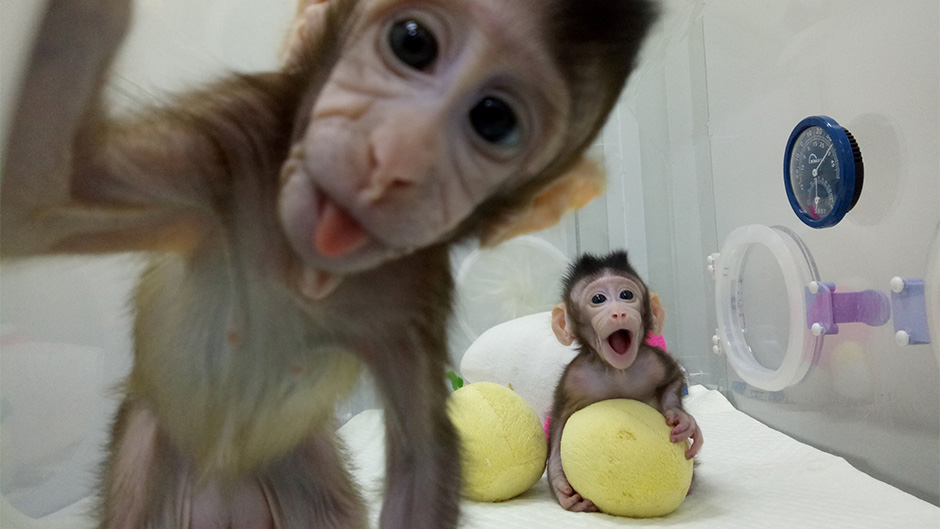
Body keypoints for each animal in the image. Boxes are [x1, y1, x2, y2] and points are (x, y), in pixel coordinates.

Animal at [0, 0, 657, 527]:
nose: (394, 156)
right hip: (151, 453)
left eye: (494, 119)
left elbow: (421, 457)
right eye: (412, 42)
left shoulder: (413, 287)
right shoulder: (235, 134)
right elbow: (40, 199)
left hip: (301, 462)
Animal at [547, 250, 703, 512]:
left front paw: (681, 419)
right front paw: (560, 484)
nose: (618, 312)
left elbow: (673, 379)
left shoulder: (652, 360)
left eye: (626, 295)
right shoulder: (573, 379)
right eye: (598, 299)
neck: (616, 371)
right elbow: (559, 423)